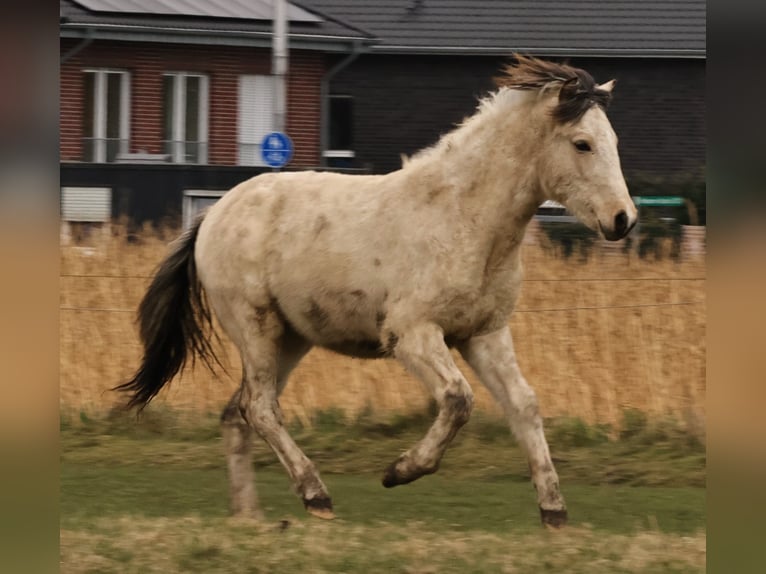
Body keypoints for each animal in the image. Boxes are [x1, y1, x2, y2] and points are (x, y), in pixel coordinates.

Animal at [117, 55, 636, 528]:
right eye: (582, 144)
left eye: (614, 141)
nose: (623, 219)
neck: (465, 219)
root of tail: (213, 214)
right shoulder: (412, 335)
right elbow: (458, 399)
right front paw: (399, 471)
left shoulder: (484, 334)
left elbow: (524, 405)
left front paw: (554, 511)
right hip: (255, 328)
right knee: (260, 409)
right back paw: (315, 496)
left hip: (290, 339)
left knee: (237, 412)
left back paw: (250, 519)